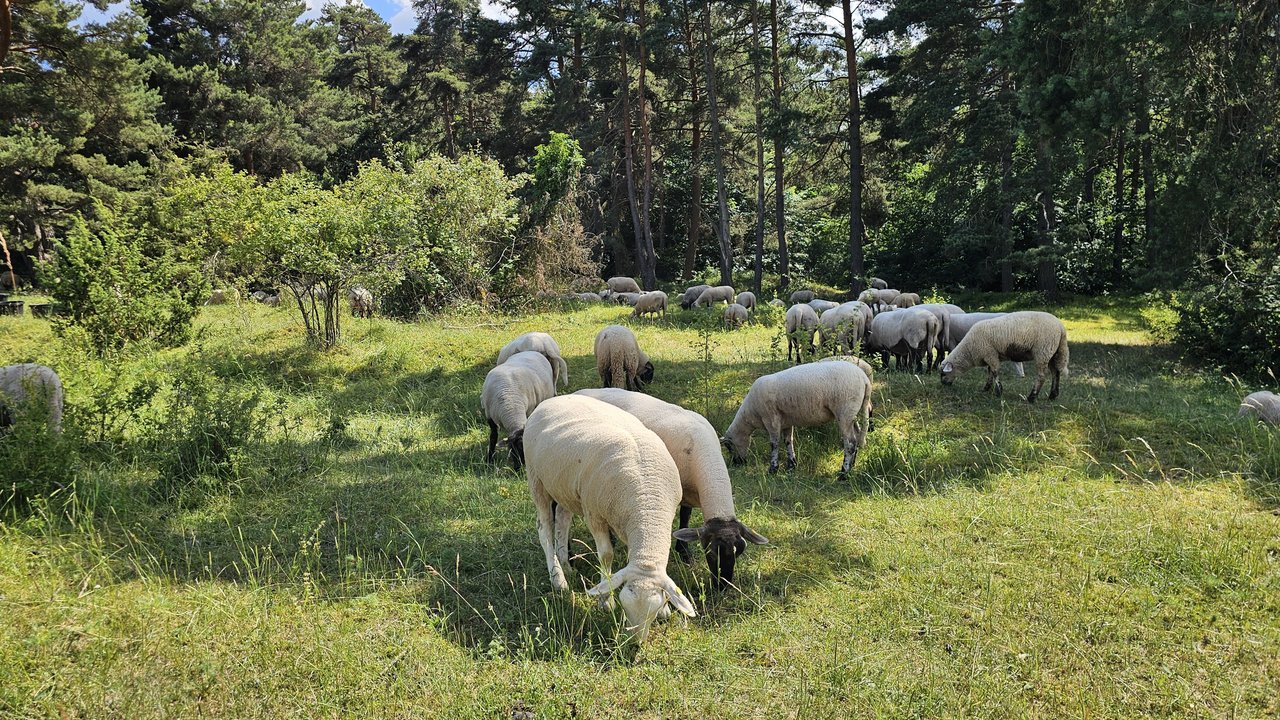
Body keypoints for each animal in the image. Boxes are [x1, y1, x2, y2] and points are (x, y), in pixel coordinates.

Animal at [520, 395, 697, 642]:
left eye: (652, 612)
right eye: (625, 605)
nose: (635, 643)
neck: (647, 507)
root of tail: (554, 398)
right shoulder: (594, 514)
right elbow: (606, 555)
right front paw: (606, 601)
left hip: (566, 487)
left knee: (563, 521)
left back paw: (566, 565)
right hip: (537, 479)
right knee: (544, 528)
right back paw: (558, 579)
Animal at [575, 388, 769, 587]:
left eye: (740, 552)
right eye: (710, 552)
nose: (722, 586)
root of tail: (582, 391)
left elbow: (685, 516)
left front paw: (684, 552)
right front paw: (682, 552)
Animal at [722, 361, 872, 479]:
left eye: (729, 446)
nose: (737, 463)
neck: (750, 415)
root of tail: (864, 379)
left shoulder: (771, 419)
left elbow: (774, 444)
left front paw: (773, 469)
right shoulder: (786, 422)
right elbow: (788, 441)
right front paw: (791, 465)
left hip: (844, 411)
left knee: (850, 443)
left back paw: (844, 472)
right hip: (851, 413)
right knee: (856, 437)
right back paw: (852, 465)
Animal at [940, 311, 1069, 403]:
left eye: (943, 374)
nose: (943, 385)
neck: (968, 350)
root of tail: (1061, 328)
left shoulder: (989, 354)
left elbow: (995, 372)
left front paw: (998, 392)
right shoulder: (992, 355)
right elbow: (990, 373)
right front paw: (986, 388)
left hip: (1043, 351)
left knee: (1042, 376)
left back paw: (1032, 397)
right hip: (1053, 352)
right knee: (1056, 373)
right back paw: (1053, 395)